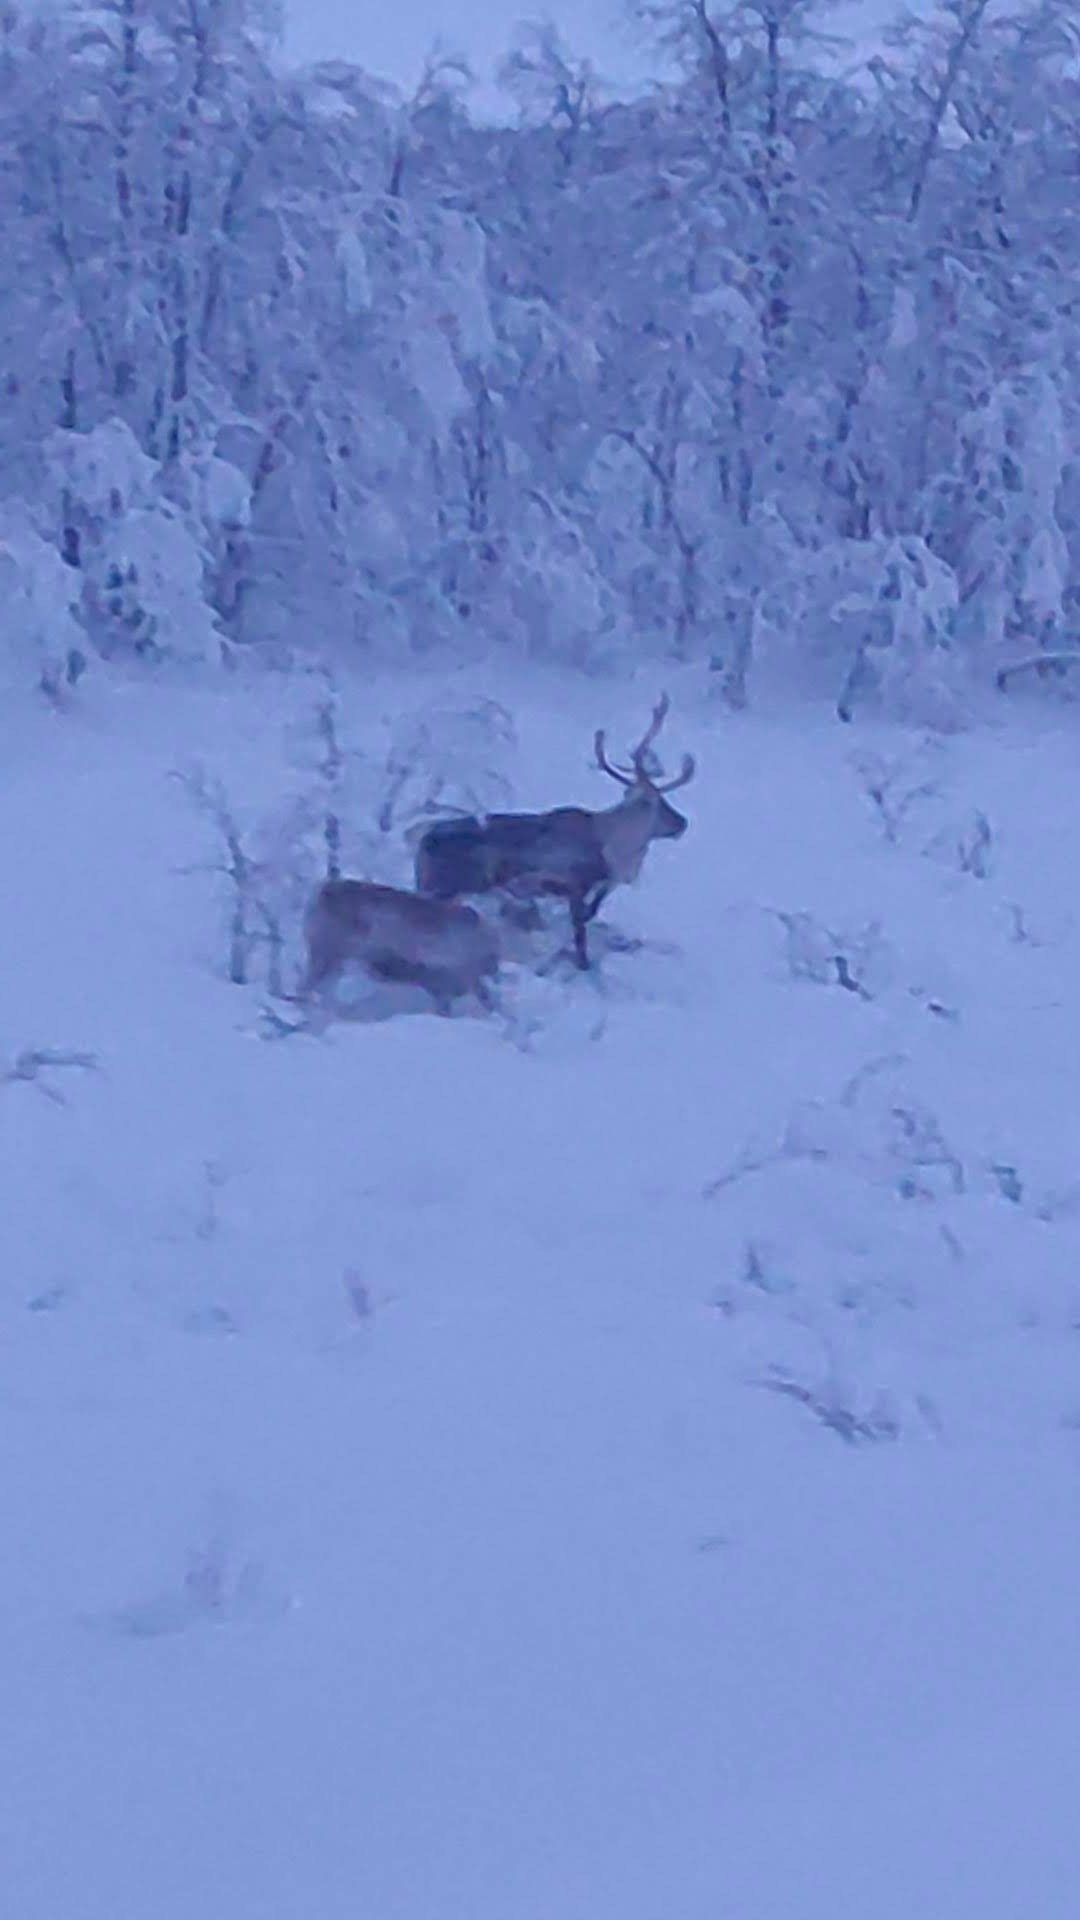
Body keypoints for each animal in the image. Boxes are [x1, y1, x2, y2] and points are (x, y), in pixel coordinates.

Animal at [413, 694, 694, 969]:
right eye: (659, 802)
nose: (682, 823)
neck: (614, 846)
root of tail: (423, 843)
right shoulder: (573, 886)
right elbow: (580, 939)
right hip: (446, 888)